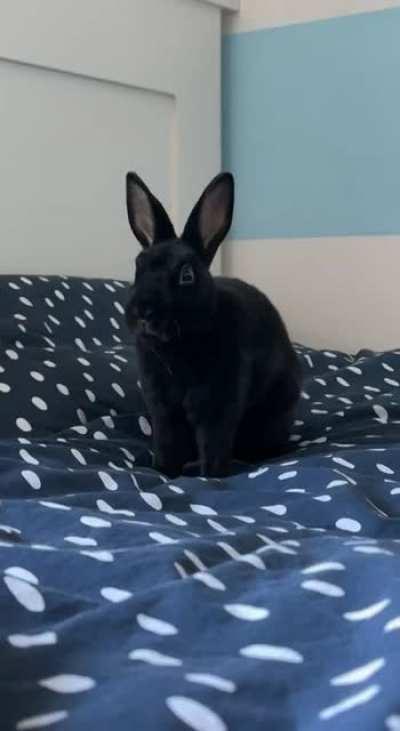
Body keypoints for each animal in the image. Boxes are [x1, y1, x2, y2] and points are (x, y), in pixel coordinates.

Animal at [125, 171, 302, 478]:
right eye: (138, 265)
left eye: (186, 275)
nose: (143, 311)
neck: (178, 346)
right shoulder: (163, 409)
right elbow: (167, 442)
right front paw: (163, 471)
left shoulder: (219, 404)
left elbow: (214, 442)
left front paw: (211, 475)